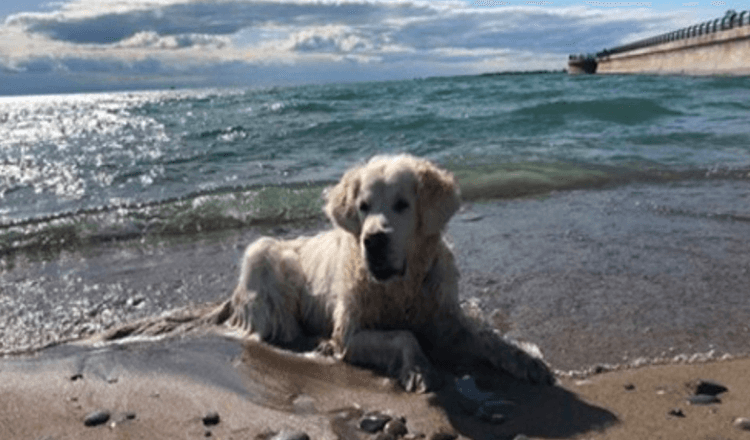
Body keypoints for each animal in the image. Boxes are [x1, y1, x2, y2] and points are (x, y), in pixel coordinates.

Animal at [210, 156, 552, 392]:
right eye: (363, 206)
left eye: (402, 204)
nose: (373, 240)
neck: (400, 287)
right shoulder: (351, 331)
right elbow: (404, 335)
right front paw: (419, 369)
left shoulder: (444, 321)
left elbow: (489, 337)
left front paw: (528, 360)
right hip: (263, 253)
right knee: (283, 329)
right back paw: (319, 343)